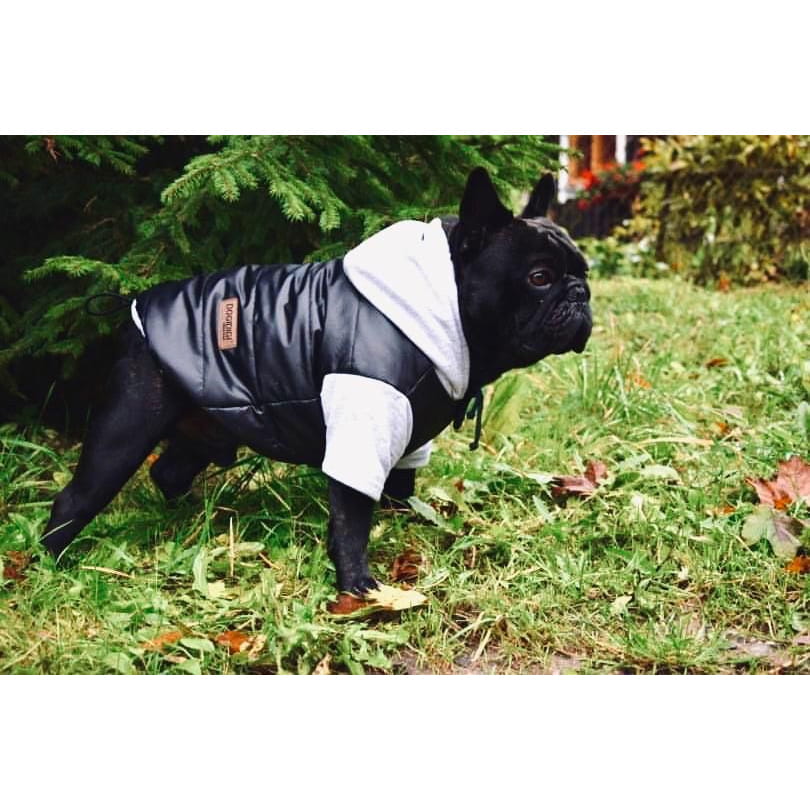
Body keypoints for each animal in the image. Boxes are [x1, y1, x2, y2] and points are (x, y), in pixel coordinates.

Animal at [41, 167, 591, 599]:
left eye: (583, 271)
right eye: (539, 278)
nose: (581, 293)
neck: (444, 308)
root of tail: (133, 310)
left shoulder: (409, 434)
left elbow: (402, 485)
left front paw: (408, 523)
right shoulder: (363, 424)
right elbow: (351, 520)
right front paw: (358, 589)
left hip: (207, 426)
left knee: (169, 472)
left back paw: (194, 519)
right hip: (127, 425)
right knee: (77, 498)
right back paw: (50, 564)